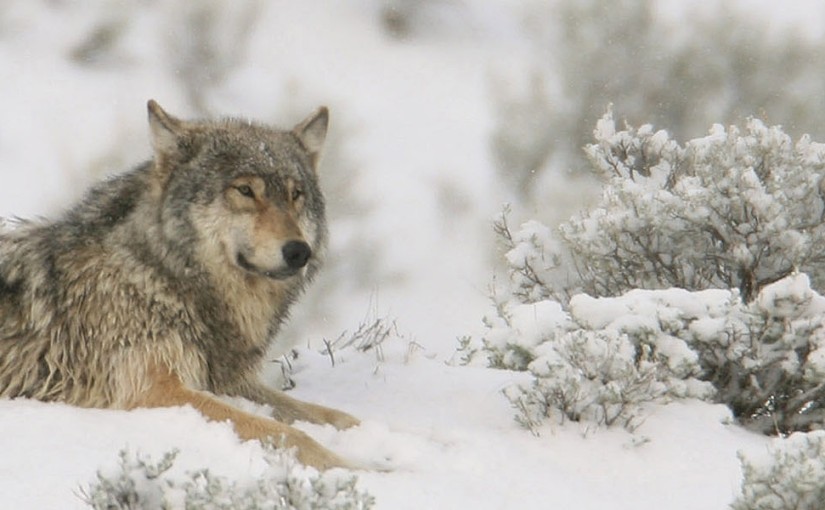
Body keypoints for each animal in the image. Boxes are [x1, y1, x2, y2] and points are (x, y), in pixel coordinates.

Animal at [0, 100, 359, 470]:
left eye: (295, 195)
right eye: (245, 190)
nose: (299, 251)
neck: (158, 273)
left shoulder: (228, 380)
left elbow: (334, 416)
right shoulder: (155, 389)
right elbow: (289, 433)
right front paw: (356, 467)